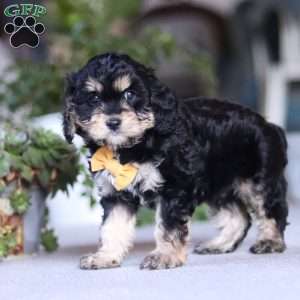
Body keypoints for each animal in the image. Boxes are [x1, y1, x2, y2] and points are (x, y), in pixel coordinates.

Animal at [62, 52, 288, 270]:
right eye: (94, 98)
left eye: (130, 94)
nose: (113, 122)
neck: (133, 146)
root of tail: (269, 125)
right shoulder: (115, 194)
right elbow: (112, 227)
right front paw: (105, 257)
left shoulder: (173, 189)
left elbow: (167, 226)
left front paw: (165, 256)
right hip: (218, 186)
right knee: (239, 217)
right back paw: (219, 244)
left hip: (257, 181)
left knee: (271, 210)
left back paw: (270, 241)